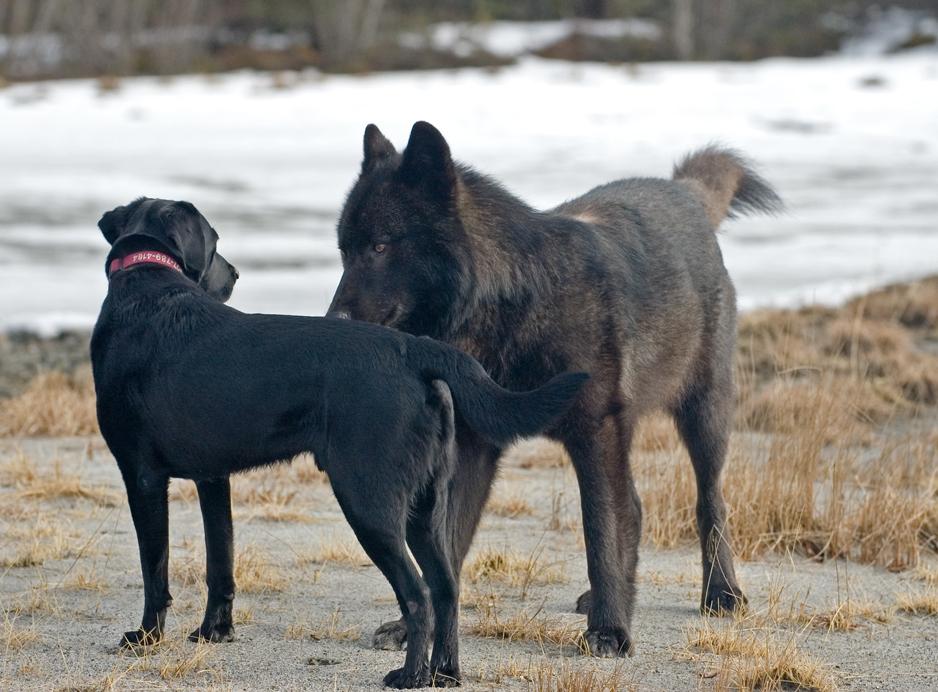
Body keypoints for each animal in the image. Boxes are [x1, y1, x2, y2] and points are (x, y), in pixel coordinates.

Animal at [89, 196, 584, 688]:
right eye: (214, 245)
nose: (234, 275)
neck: (147, 283)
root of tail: (415, 349)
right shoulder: (214, 479)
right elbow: (220, 562)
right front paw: (215, 632)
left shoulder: (142, 477)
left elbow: (155, 569)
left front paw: (146, 637)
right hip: (424, 504)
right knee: (446, 588)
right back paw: (445, 673)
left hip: (368, 501)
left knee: (418, 594)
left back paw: (410, 675)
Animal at [326, 121, 780, 656]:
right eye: (344, 251)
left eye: (380, 247)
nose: (332, 323)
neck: (513, 306)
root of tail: (684, 191)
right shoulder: (471, 446)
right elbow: (445, 544)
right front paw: (419, 627)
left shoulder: (595, 434)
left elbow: (601, 530)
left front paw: (610, 629)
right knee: (637, 508)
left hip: (704, 416)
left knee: (709, 502)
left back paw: (721, 593)